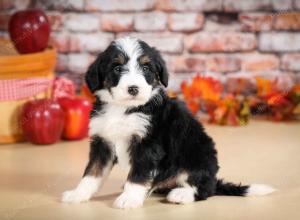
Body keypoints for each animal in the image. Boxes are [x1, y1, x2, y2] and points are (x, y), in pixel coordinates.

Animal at [62, 37, 276, 209]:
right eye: (117, 68)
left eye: (146, 68)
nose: (133, 88)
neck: (123, 109)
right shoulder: (102, 141)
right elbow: (92, 173)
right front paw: (77, 194)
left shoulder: (148, 145)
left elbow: (138, 175)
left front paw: (129, 198)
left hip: (197, 155)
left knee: (202, 189)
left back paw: (180, 194)